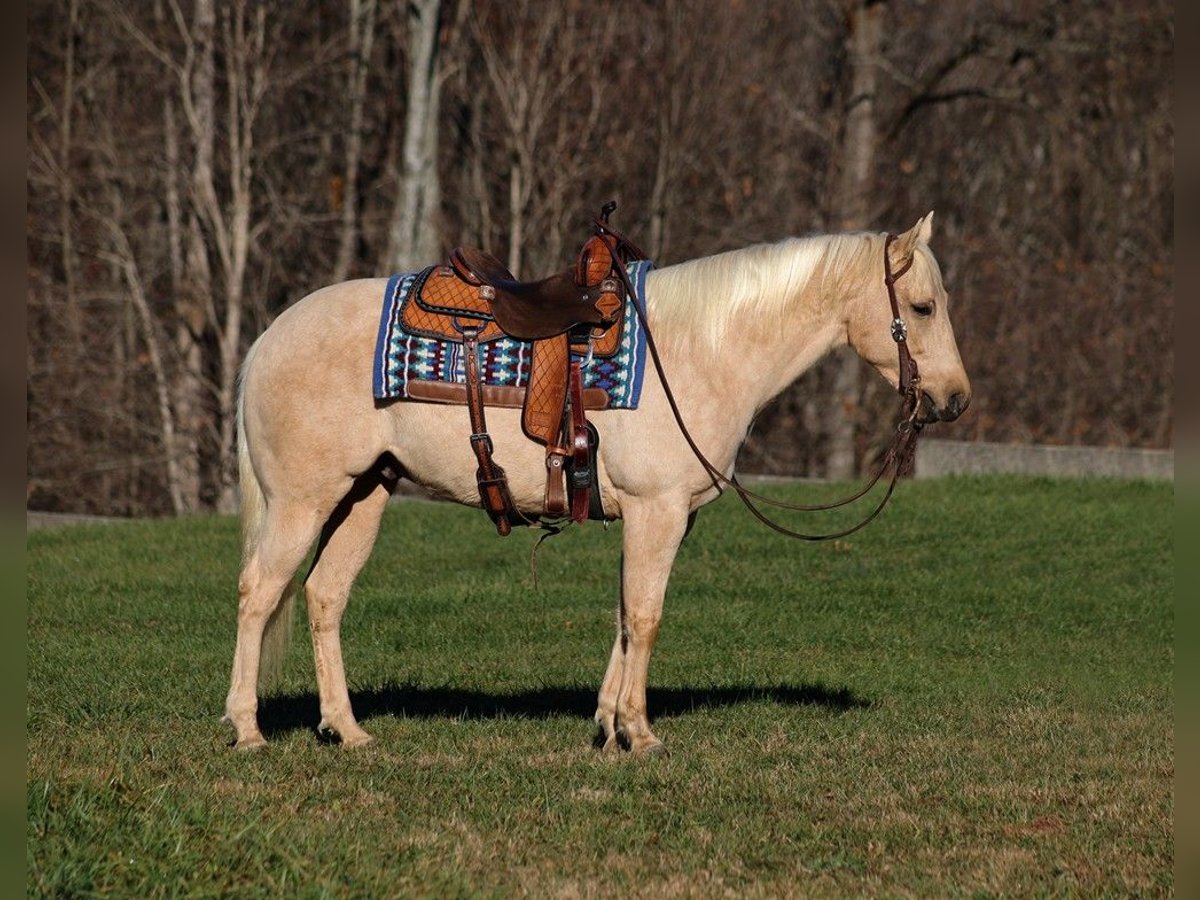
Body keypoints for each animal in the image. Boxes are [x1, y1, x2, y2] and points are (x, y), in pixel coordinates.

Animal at [225, 211, 969, 753]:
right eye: (923, 308)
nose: (955, 399)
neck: (703, 350)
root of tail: (265, 340)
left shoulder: (662, 517)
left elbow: (623, 614)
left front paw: (609, 725)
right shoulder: (656, 511)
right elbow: (645, 615)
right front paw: (640, 733)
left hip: (364, 493)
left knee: (323, 597)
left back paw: (347, 731)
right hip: (303, 499)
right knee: (260, 592)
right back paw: (248, 729)